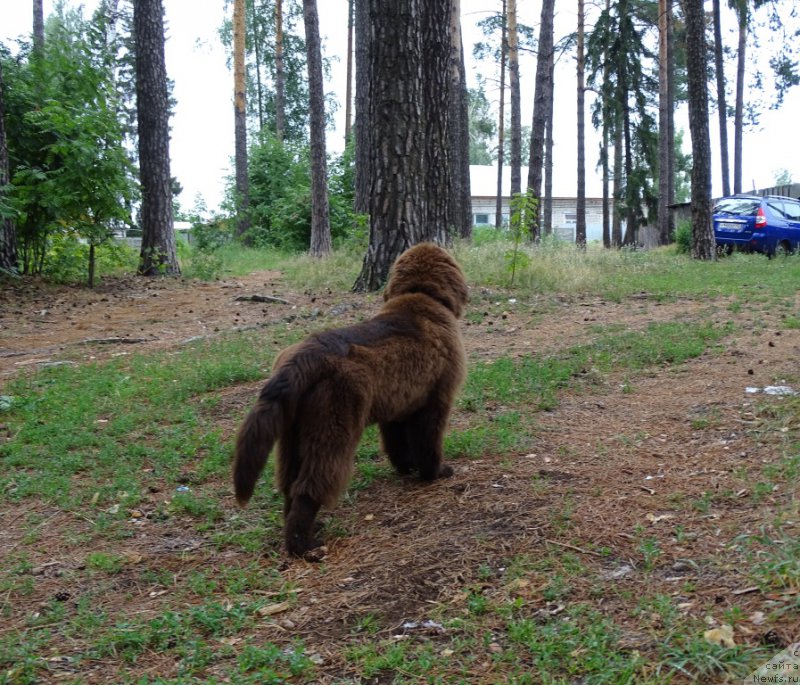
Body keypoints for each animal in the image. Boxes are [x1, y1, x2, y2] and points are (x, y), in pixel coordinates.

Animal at [231, 240, 468, 556]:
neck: (420, 297)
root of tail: (306, 357)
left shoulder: (396, 408)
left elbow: (397, 446)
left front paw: (406, 468)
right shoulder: (435, 403)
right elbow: (428, 444)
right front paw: (435, 472)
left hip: (294, 432)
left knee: (290, 484)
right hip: (334, 429)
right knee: (310, 488)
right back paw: (303, 545)